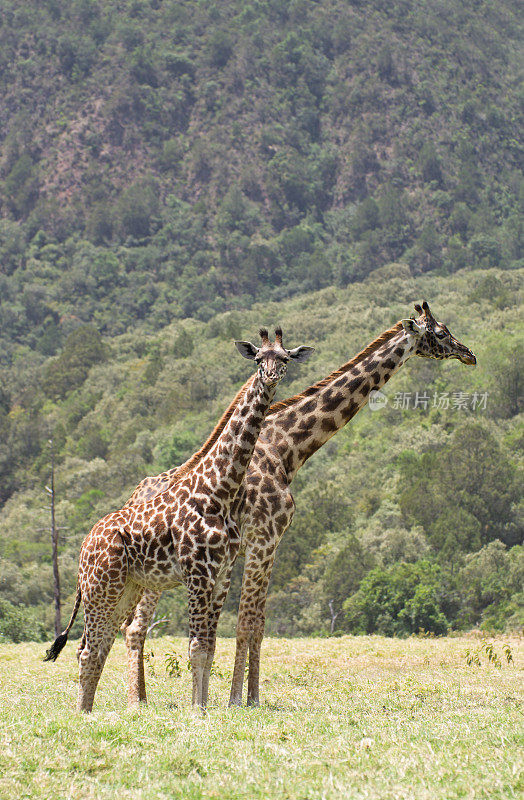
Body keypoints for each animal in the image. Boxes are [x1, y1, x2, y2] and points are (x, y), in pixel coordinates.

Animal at [43, 328, 314, 708]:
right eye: (259, 358)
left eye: (285, 357)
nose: (271, 376)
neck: (220, 488)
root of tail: (84, 546)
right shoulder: (197, 575)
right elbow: (197, 648)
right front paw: (198, 711)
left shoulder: (219, 574)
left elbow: (209, 648)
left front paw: (204, 708)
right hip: (100, 589)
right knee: (88, 650)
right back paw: (84, 713)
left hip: (123, 590)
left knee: (97, 646)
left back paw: (91, 712)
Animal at [121, 300, 476, 708]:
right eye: (441, 333)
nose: (469, 354)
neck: (286, 448)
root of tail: (135, 494)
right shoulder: (264, 539)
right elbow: (247, 623)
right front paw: (241, 700)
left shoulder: (259, 546)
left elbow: (255, 624)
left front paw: (244, 698)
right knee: (136, 626)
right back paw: (137, 701)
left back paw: (142, 696)